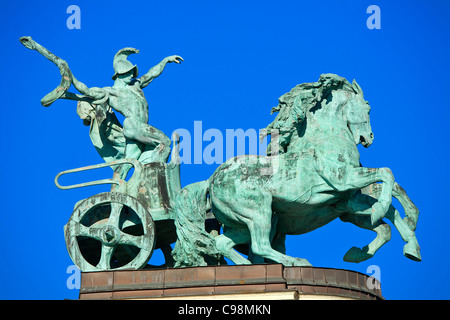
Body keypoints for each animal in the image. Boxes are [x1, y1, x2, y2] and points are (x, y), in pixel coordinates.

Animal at [173, 74, 422, 266]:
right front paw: (381, 211)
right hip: (258, 213)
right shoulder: (345, 180)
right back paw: (295, 261)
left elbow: (388, 214)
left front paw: (408, 246)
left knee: (223, 242)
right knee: (259, 245)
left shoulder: (346, 199)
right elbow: (386, 174)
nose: (368, 138)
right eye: (368, 107)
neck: (325, 139)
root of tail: (211, 180)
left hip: (246, 221)